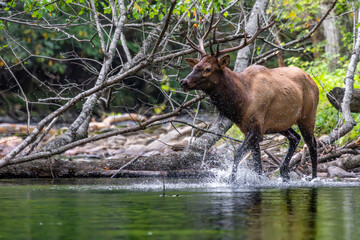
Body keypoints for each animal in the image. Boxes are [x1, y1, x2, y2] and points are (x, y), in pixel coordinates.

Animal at [181, 15, 320, 181]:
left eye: (207, 69)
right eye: (195, 66)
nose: (183, 82)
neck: (241, 103)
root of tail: (314, 82)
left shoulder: (256, 128)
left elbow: (238, 154)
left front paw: (231, 180)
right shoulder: (250, 129)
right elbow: (257, 166)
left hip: (308, 115)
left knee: (312, 144)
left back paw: (313, 177)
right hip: (281, 124)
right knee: (295, 138)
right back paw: (284, 171)